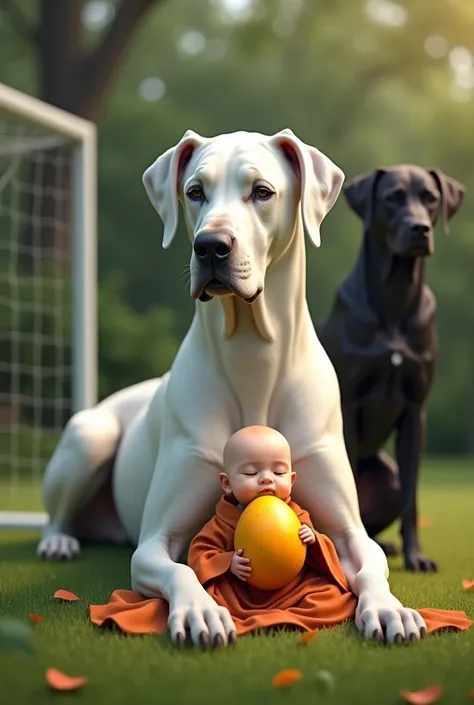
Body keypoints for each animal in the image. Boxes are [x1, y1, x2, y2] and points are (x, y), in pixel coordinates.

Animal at [320, 165, 464, 572]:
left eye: (430, 197)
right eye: (393, 197)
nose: (420, 229)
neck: (396, 296)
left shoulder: (415, 411)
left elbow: (413, 499)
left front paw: (417, 556)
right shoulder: (349, 405)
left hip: (390, 479)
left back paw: (385, 545)